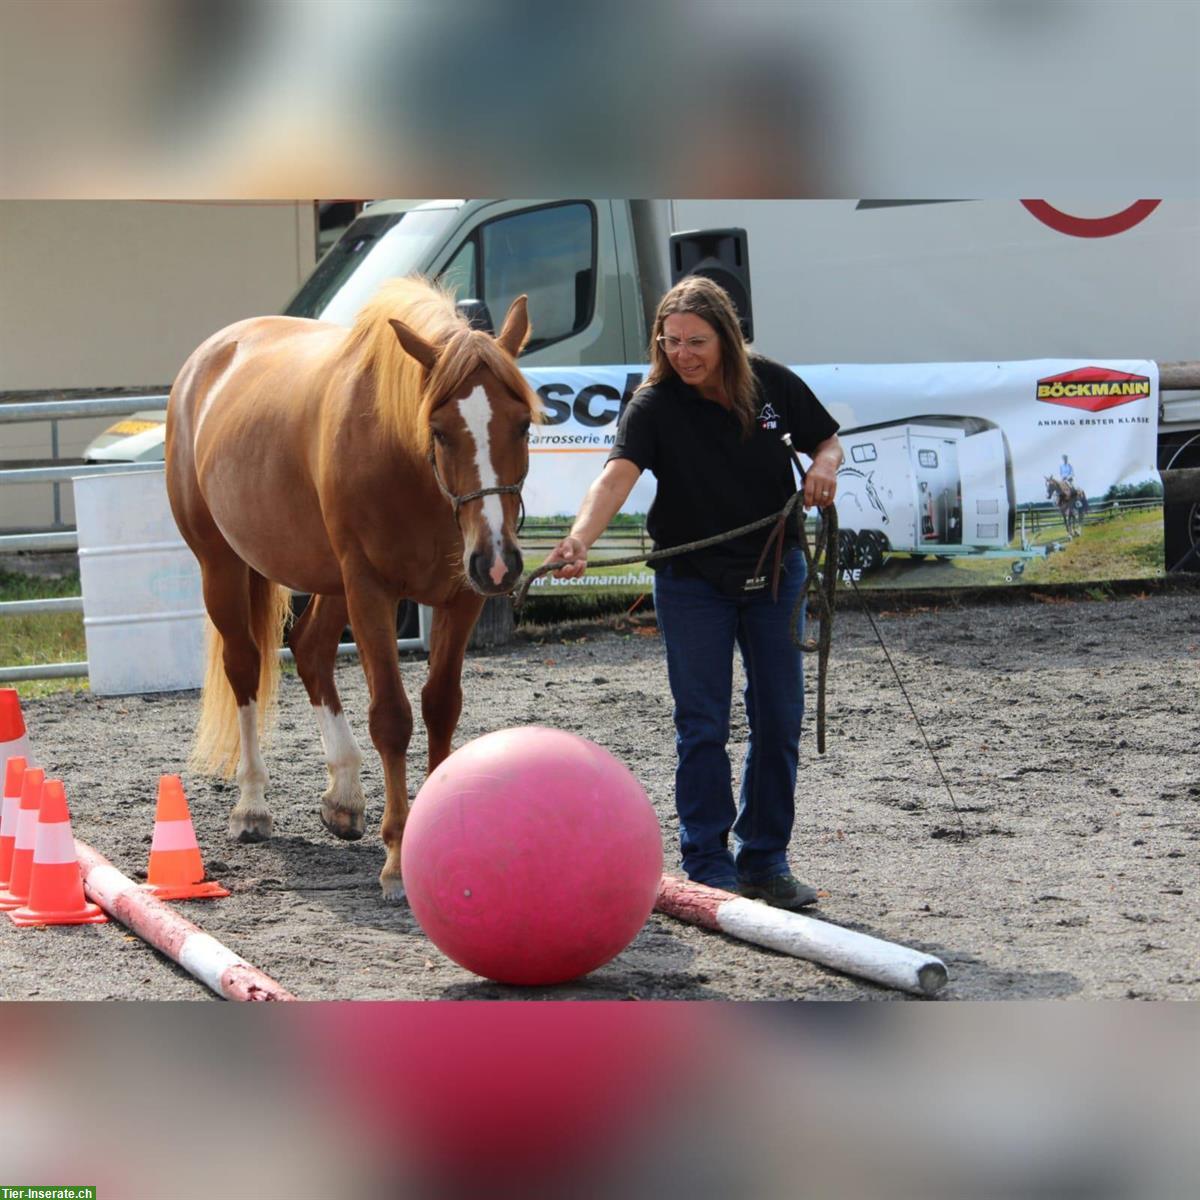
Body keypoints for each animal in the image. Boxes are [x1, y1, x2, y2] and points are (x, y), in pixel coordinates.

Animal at [162, 276, 537, 897]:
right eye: (439, 431)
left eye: (524, 423)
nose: (498, 562)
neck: (405, 462)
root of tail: (206, 360)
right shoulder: (371, 590)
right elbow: (392, 717)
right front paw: (397, 857)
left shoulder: (459, 598)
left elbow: (441, 707)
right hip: (223, 566)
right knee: (244, 667)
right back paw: (252, 806)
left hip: (330, 579)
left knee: (311, 650)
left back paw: (343, 796)